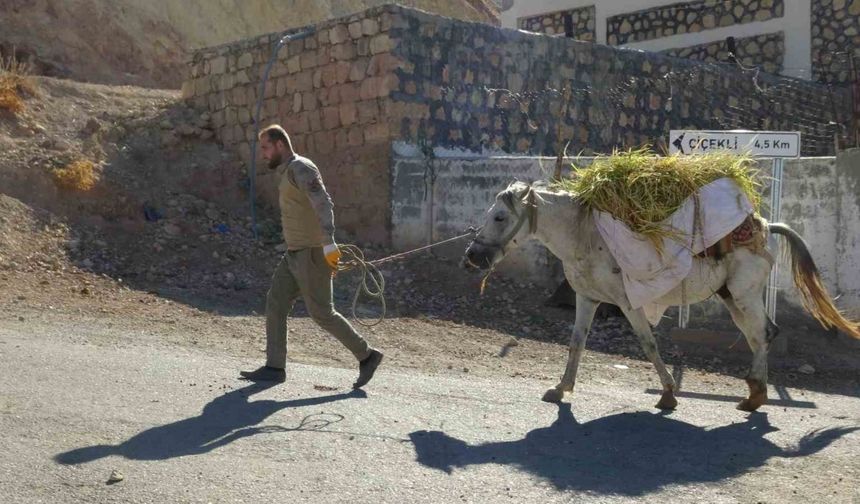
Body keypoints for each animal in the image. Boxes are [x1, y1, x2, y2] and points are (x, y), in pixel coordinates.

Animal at [466, 183, 856, 412]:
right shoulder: (587, 299)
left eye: (499, 216)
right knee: (762, 334)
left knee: (761, 335)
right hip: (733, 298)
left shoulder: (629, 303)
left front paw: (668, 394)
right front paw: (561, 389)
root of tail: (764, 226)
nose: (473, 256)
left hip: (744, 295)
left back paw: (753, 399)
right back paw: (754, 392)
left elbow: (648, 343)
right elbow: (576, 343)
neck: (586, 235)